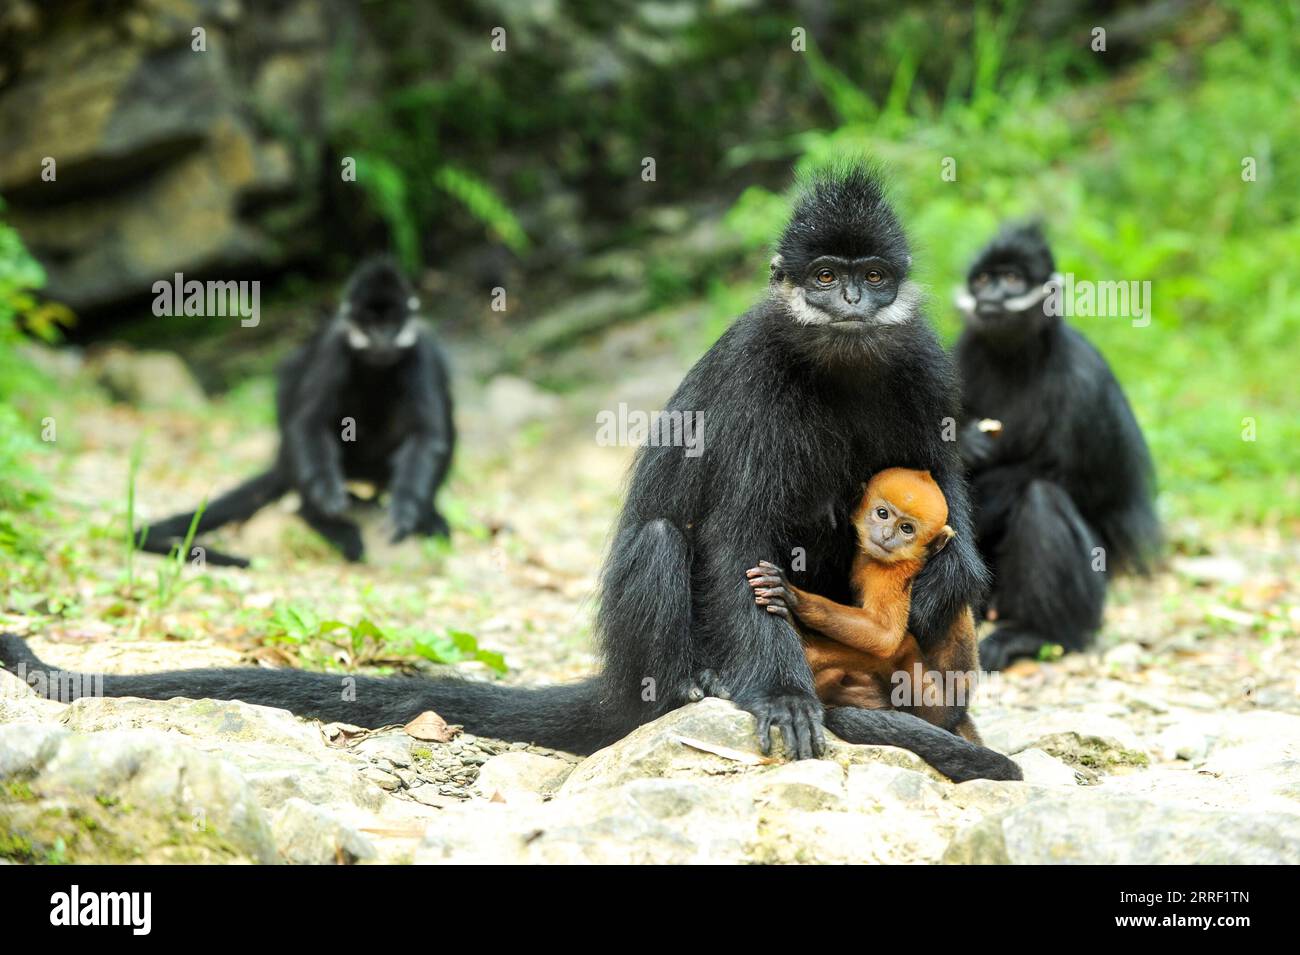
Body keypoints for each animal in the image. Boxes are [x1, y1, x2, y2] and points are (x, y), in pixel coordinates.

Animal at [134, 255, 454, 566]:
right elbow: (308, 424)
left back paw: (424, 514)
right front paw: (325, 503)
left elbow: (428, 434)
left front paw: (406, 511)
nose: (382, 340)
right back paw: (324, 521)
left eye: (390, 327)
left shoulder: (422, 349)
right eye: (371, 327)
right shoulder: (333, 346)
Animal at [748, 467, 977, 743]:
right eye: (882, 514)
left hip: (930, 700)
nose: (887, 536)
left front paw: (794, 598)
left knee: (902, 646)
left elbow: (885, 635)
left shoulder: (889, 572)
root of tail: (957, 711)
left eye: (907, 528)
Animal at [956, 223, 1159, 670]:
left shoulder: (1084, 379)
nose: (990, 296)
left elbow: (1090, 487)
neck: (1014, 360)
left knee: (1042, 498)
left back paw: (1034, 635)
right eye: (983, 280)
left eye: (1011, 279)